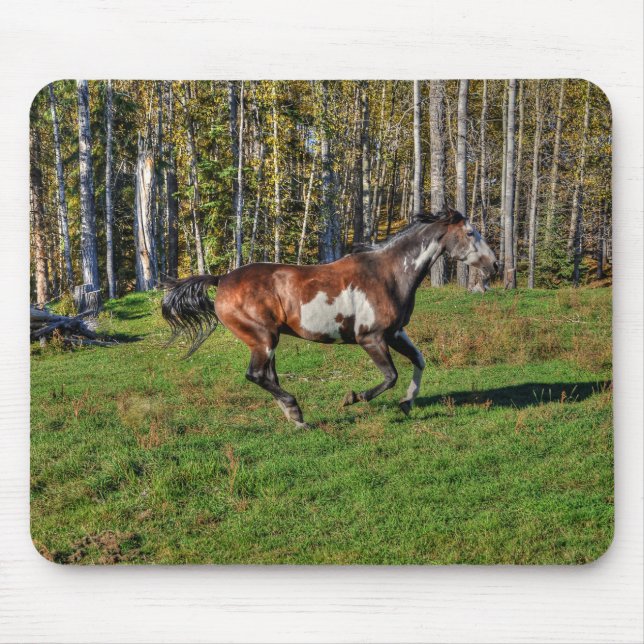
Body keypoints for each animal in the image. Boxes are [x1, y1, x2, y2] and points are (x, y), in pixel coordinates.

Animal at [162, 207, 498, 427]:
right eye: (470, 233)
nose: (495, 265)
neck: (389, 274)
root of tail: (222, 279)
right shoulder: (371, 338)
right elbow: (390, 376)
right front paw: (353, 397)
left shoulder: (395, 333)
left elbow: (419, 361)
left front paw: (406, 403)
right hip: (262, 338)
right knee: (256, 375)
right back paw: (295, 410)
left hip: (267, 341)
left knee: (268, 377)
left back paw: (295, 418)